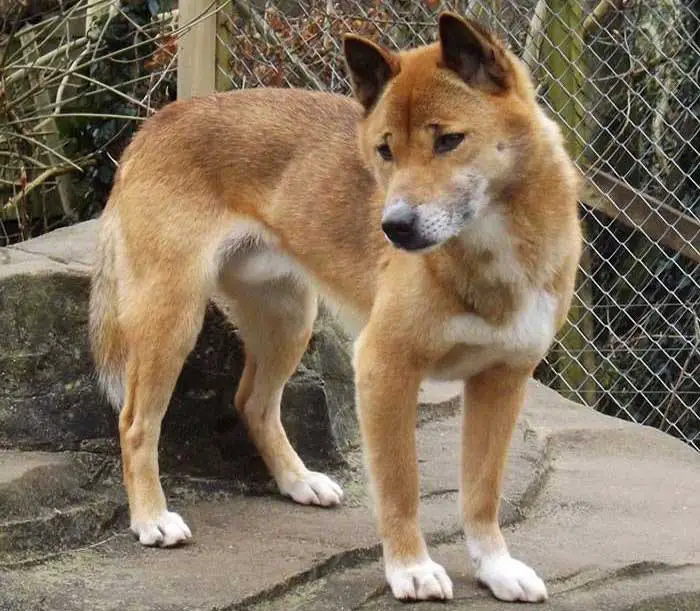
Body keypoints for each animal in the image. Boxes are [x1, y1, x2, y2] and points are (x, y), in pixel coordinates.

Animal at [89, 11, 580, 604]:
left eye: (450, 141)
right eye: (385, 150)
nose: (394, 227)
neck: (489, 253)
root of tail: (156, 122)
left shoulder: (502, 379)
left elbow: (483, 493)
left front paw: (496, 567)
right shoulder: (385, 369)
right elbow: (400, 487)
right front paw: (411, 568)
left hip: (289, 319)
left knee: (252, 402)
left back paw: (298, 481)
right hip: (172, 320)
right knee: (137, 422)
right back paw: (152, 518)